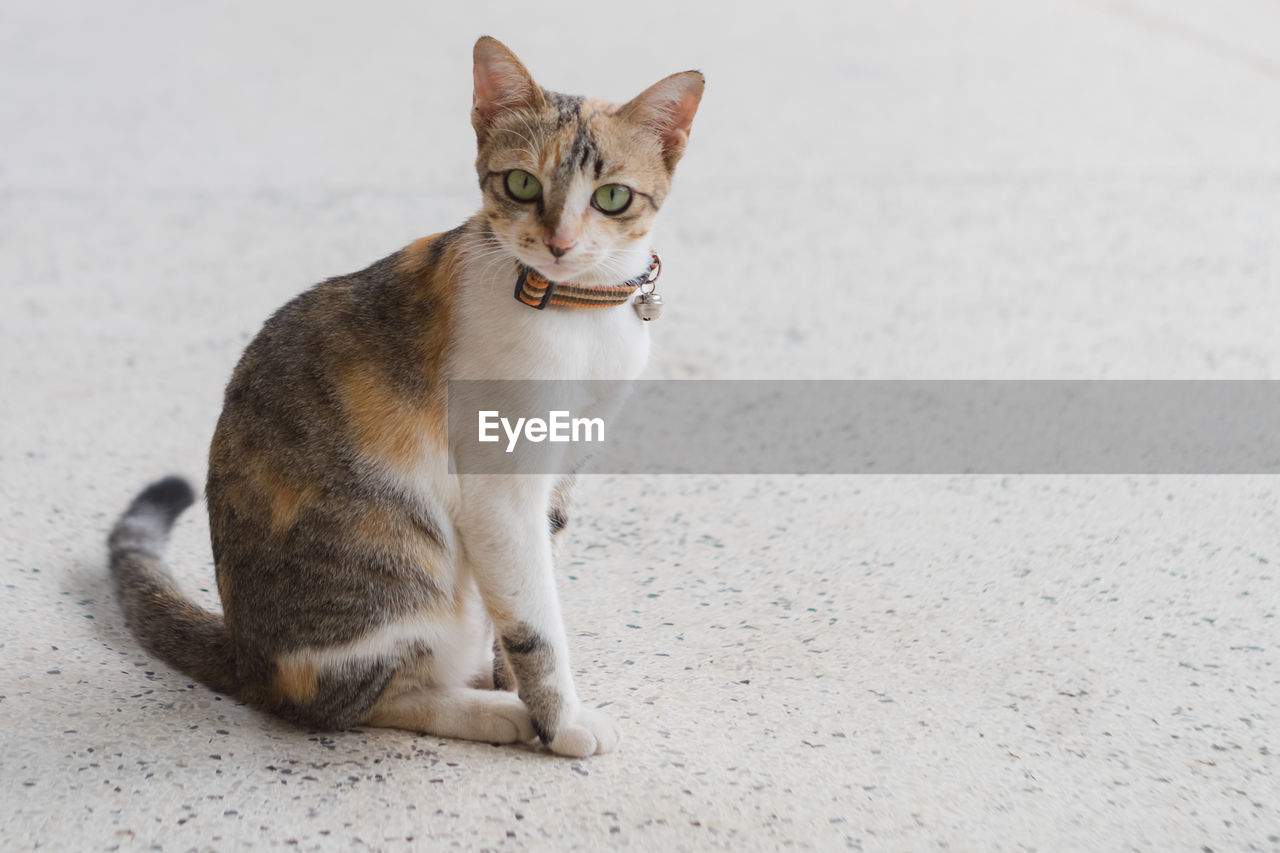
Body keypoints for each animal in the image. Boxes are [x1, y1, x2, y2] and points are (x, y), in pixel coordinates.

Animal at [107, 36, 711, 753]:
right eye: (521, 184)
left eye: (613, 197)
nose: (560, 244)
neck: (577, 312)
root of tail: (244, 654)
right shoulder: (501, 487)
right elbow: (535, 620)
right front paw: (558, 721)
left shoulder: (565, 467)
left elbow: (522, 605)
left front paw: (518, 688)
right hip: (403, 575)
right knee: (344, 701)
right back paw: (490, 712)